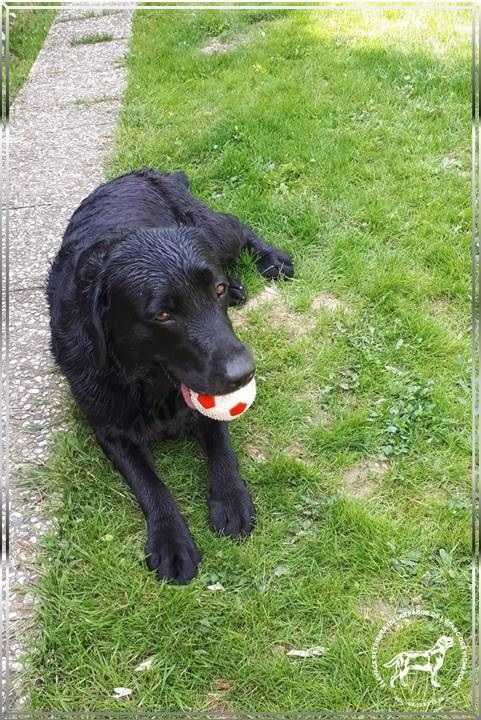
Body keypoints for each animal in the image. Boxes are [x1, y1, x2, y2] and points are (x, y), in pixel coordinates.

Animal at [47, 170, 292, 584]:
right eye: (162, 315)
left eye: (216, 290)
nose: (243, 374)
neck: (151, 383)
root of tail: (143, 172)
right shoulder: (109, 430)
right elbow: (150, 484)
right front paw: (171, 540)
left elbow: (221, 448)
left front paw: (230, 498)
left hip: (213, 232)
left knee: (237, 226)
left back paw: (271, 260)